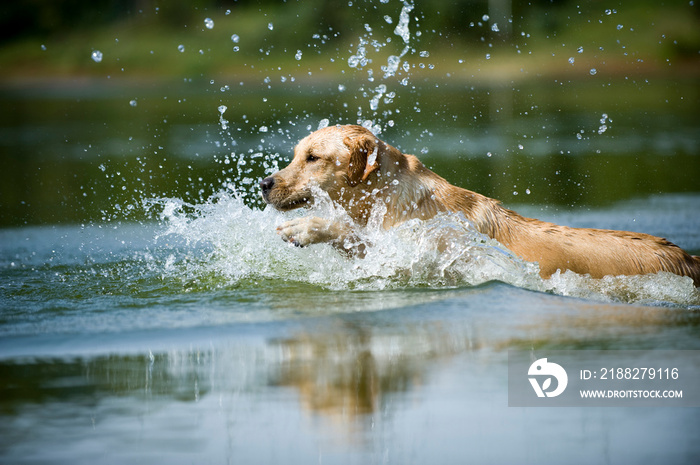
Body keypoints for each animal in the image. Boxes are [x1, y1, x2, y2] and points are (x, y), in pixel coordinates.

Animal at [262, 123, 700, 284]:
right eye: (295, 154)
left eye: (313, 158)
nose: (264, 183)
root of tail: (684, 257)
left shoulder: (429, 257)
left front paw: (308, 227)